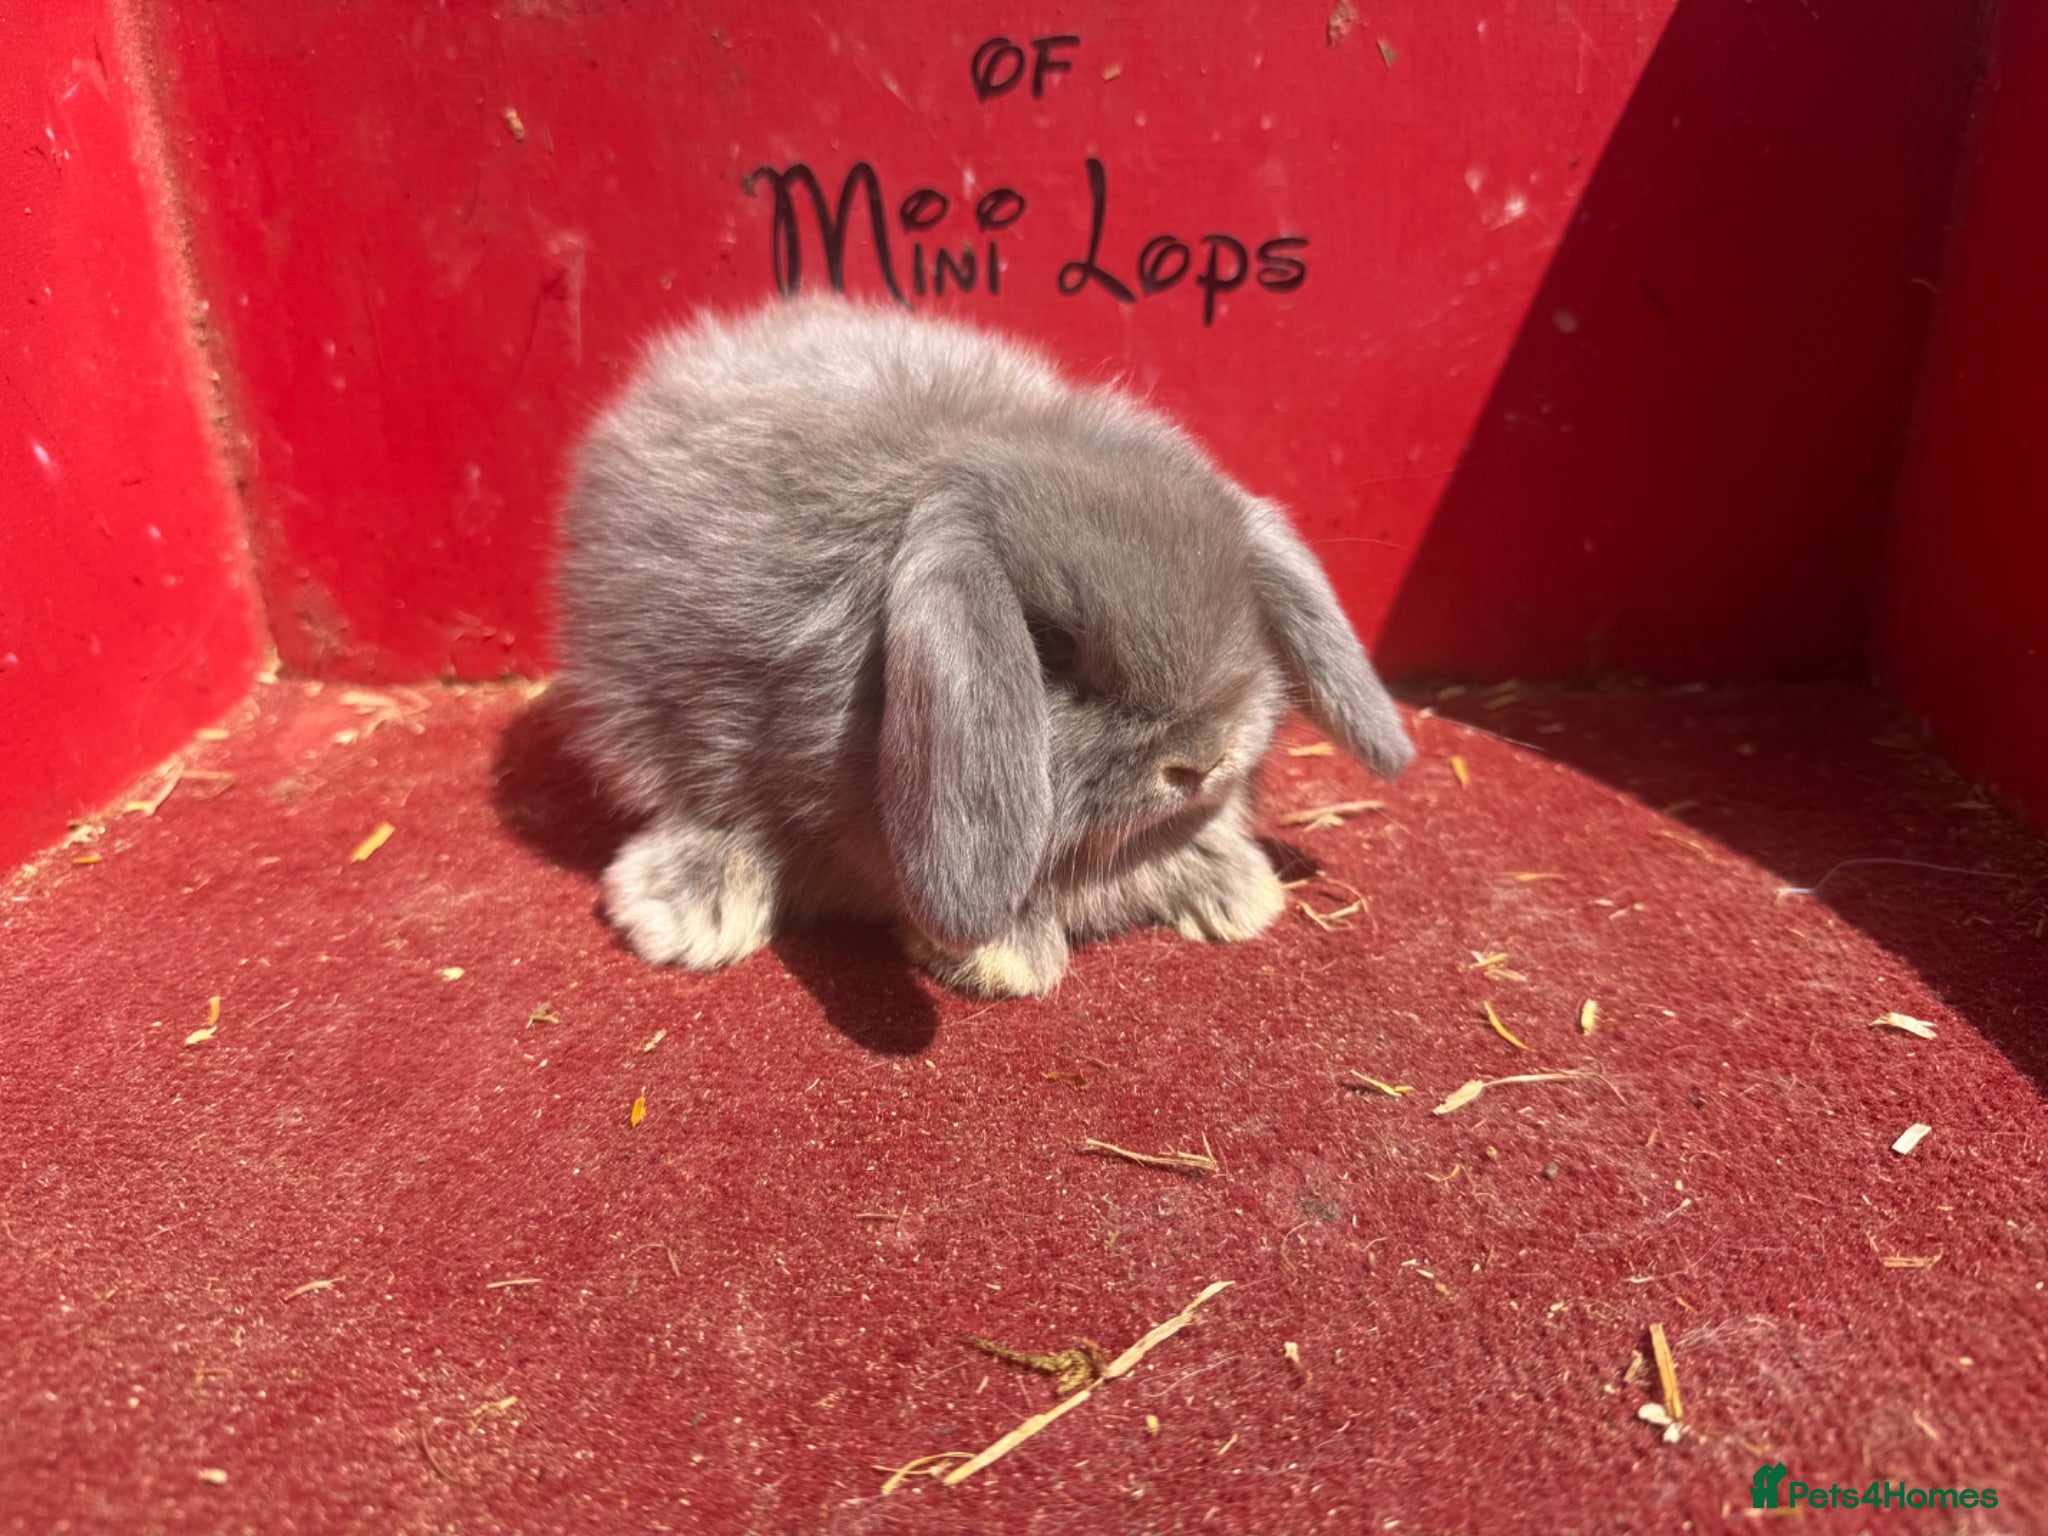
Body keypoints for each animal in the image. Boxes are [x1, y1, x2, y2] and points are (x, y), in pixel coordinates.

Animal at [553, 296, 1413, 997]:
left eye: (1246, 612)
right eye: (1051, 648)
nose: (1203, 760)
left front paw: (1236, 892)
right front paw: (1007, 960)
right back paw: (689, 910)